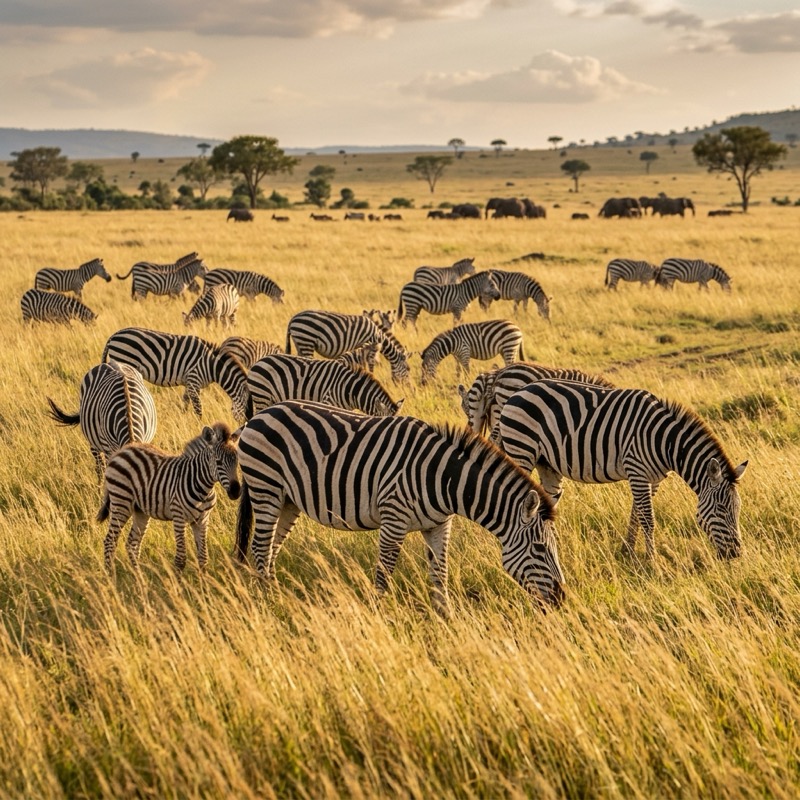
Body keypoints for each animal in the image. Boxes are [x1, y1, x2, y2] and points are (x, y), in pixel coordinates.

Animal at [98, 422, 240, 573]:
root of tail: (122, 451)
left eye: (237, 461)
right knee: (110, 540)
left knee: (132, 543)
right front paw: (177, 579)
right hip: (121, 501)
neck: (203, 487)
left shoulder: (202, 519)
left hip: (140, 510)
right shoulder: (179, 516)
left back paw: (138, 576)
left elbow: (203, 557)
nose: (236, 491)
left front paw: (203, 579)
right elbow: (181, 559)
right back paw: (110, 574)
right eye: (218, 462)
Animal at [101, 327, 251, 422]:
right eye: (249, 410)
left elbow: (185, 403)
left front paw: (183, 420)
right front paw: (200, 426)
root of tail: (114, 336)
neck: (212, 366)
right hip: (124, 361)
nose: (245, 426)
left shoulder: (189, 382)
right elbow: (198, 408)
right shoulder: (194, 379)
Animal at [235, 401, 565, 613]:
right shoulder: (393, 518)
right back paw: (266, 600)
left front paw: (445, 619)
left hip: (288, 500)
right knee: (260, 548)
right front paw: (378, 614)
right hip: (266, 488)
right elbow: (384, 572)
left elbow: (440, 572)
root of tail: (259, 415)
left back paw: (274, 592)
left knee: (272, 547)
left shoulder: (439, 525)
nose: (561, 599)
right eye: (539, 548)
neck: (444, 479)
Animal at [496, 379, 748, 560]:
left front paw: (628, 550)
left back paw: (556, 547)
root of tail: (518, 393)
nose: (736, 555)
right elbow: (648, 518)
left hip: (547, 464)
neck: (665, 441)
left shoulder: (653, 479)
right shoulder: (637, 471)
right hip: (522, 450)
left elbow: (636, 514)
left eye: (738, 510)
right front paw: (652, 562)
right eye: (721, 510)